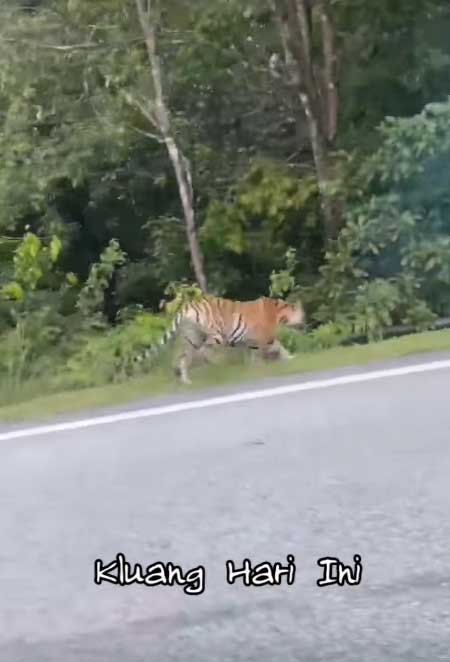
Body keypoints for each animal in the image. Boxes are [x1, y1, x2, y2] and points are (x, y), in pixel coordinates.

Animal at [132, 294, 304, 384]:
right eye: (302, 314)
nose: (304, 322)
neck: (280, 312)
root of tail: (188, 305)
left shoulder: (249, 341)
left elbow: (255, 354)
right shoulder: (265, 338)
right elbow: (276, 348)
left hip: (192, 337)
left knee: (185, 357)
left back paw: (186, 380)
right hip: (216, 334)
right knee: (203, 352)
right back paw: (217, 366)